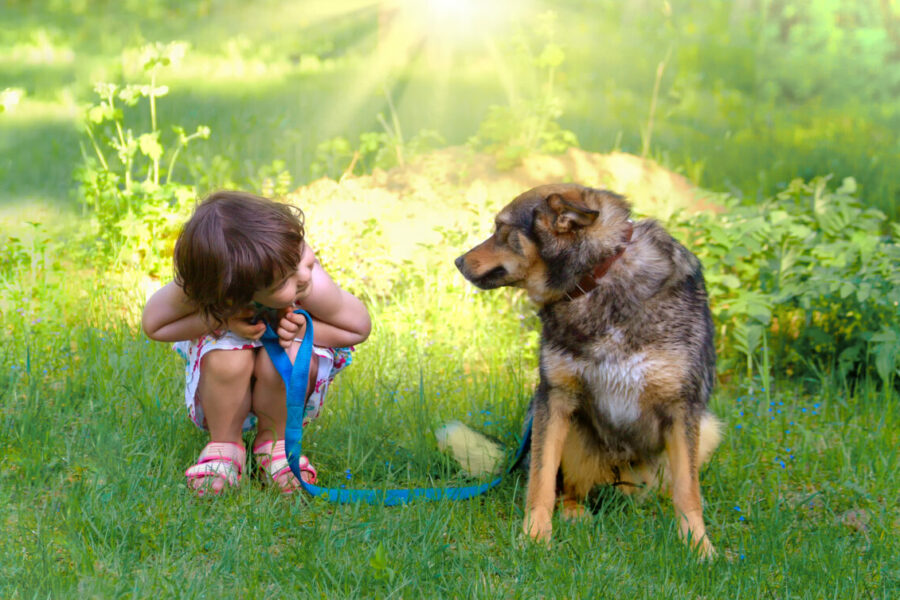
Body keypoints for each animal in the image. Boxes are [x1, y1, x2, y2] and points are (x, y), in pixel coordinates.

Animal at [454, 183, 720, 556]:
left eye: (502, 229)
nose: (458, 261)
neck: (597, 280)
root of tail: (619, 482)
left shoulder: (682, 408)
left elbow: (688, 492)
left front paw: (698, 546)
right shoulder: (554, 398)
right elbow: (541, 482)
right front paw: (534, 537)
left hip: (707, 430)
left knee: (664, 492)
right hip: (566, 429)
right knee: (569, 491)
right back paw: (575, 514)